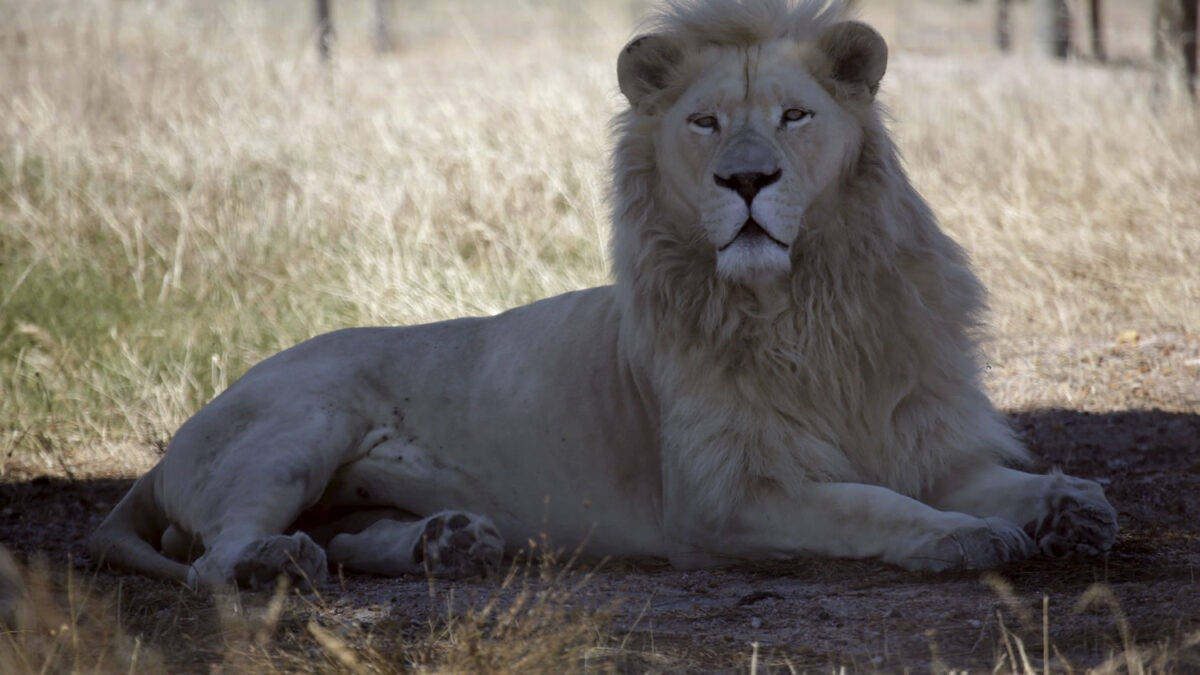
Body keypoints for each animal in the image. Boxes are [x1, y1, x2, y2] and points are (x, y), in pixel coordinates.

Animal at [91, 0, 1113, 588]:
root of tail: (170, 440)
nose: (747, 179)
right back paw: (276, 564)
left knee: (347, 538)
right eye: (705, 123)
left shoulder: (924, 441)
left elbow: (999, 482)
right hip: (302, 419)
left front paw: (1071, 505)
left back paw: (450, 542)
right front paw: (965, 538)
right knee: (212, 560)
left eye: (794, 115)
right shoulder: (723, 500)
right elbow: (874, 507)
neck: (808, 305)